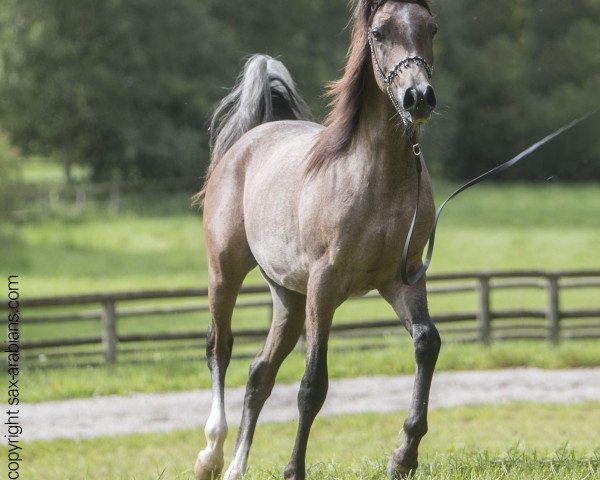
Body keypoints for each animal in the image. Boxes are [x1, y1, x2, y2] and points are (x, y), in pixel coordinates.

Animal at [196, 0, 440, 480]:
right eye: (379, 32)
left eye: (431, 28)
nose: (418, 97)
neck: (373, 178)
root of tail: (247, 142)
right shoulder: (324, 286)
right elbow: (312, 385)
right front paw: (294, 470)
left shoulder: (401, 279)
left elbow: (427, 342)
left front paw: (404, 456)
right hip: (225, 273)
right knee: (221, 348)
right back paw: (211, 454)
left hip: (288, 298)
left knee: (259, 373)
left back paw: (235, 467)